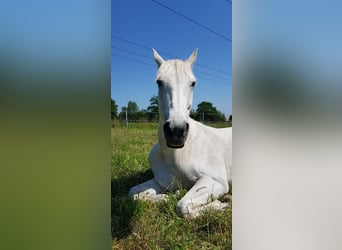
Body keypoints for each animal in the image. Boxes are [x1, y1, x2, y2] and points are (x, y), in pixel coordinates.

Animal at [128, 48, 232, 217]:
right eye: (159, 82)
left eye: (193, 83)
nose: (176, 133)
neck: (178, 153)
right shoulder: (160, 180)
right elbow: (133, 193)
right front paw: (167, 196)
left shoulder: (217, 181)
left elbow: (183, 206)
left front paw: (221, 204)